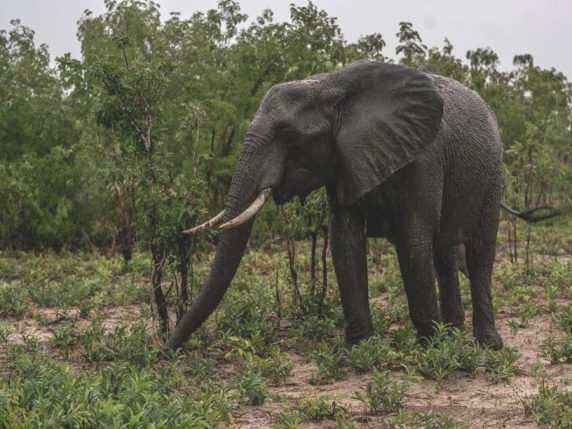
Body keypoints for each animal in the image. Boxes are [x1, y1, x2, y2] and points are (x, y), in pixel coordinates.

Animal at [164, 59, 556, 352]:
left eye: (289, 135)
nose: (164, 352)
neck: (331, 88)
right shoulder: (342, 162)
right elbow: (344, 243)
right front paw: (355, 352)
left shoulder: (424, 157)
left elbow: (413, 244)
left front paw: (430, 351)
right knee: (445, 254)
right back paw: (454, 333)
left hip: (493, 173)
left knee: (479, 253)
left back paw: (486, 345)